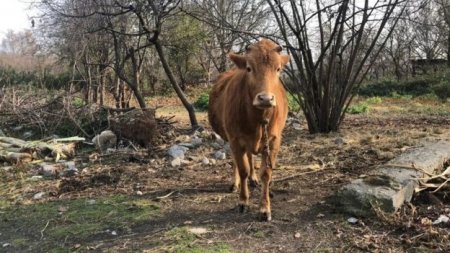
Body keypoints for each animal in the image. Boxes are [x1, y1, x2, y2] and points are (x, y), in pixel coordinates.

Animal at [209, 38, 290, 220]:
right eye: (249, 68)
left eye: (278, 69)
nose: (265, 98)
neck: (258, 118)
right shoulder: (235, 139)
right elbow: (242, 169)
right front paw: (243, 201)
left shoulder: (274, 140)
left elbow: (266, 173)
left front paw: (265, 208)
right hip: (230, 138)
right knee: (237, 160)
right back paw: (235, 183)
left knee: (251, 158)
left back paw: (254, 179)